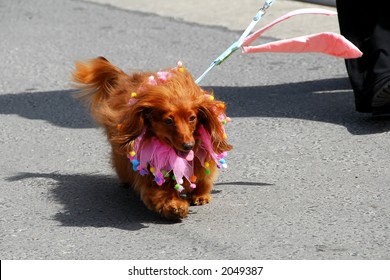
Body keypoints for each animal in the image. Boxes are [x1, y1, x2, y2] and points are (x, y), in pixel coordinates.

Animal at [72, 56, 232, 219]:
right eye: (168, 121)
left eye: (192, 118)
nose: (189, 145)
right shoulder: (151, 167)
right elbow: (161, 191)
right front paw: (174, 205)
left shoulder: (201, 155)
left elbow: (203, 175)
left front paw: (200, 194)